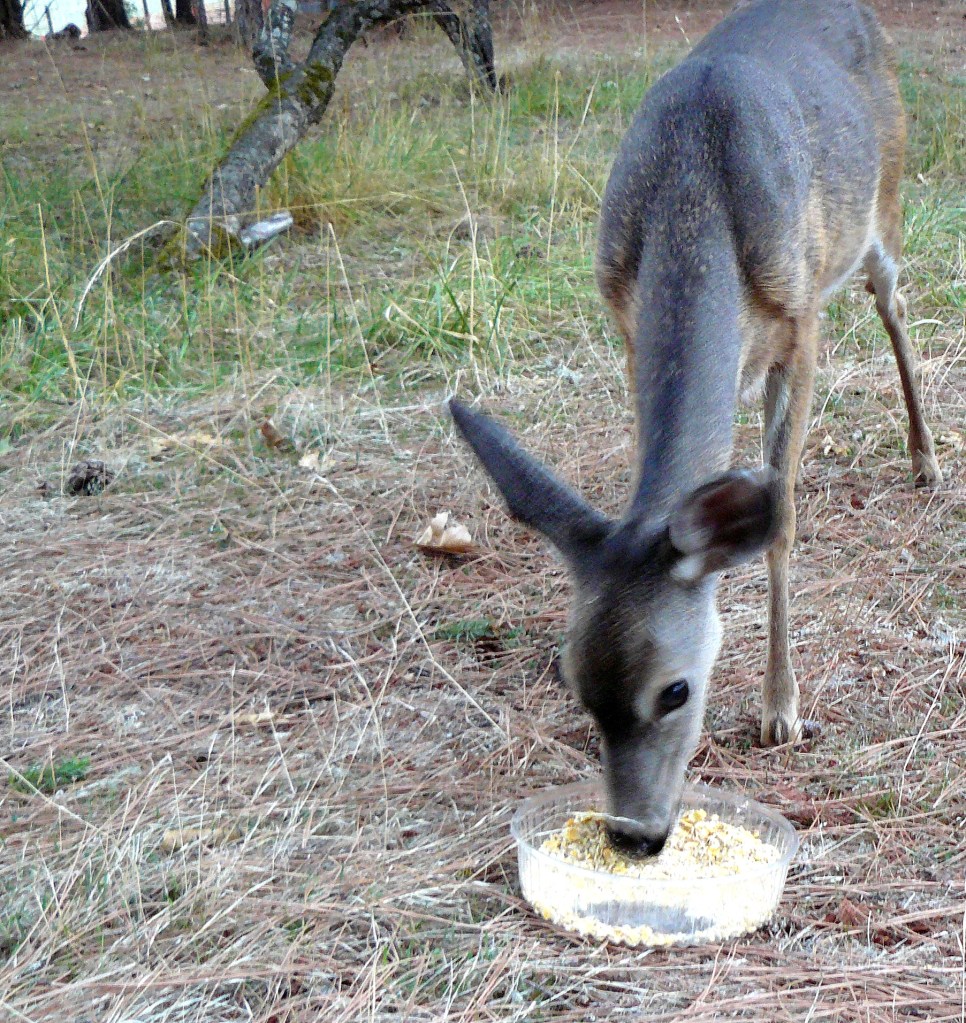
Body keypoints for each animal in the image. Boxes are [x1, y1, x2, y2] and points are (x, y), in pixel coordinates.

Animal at [448, 0, 941, 858]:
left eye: (675, 689)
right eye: (575, 681)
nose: (634, 834)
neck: (692, 198)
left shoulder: (801, 322)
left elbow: (780, 525)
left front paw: (781, 707)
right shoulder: (626, 323)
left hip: (885, 200)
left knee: (895, 305)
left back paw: (928, 459)